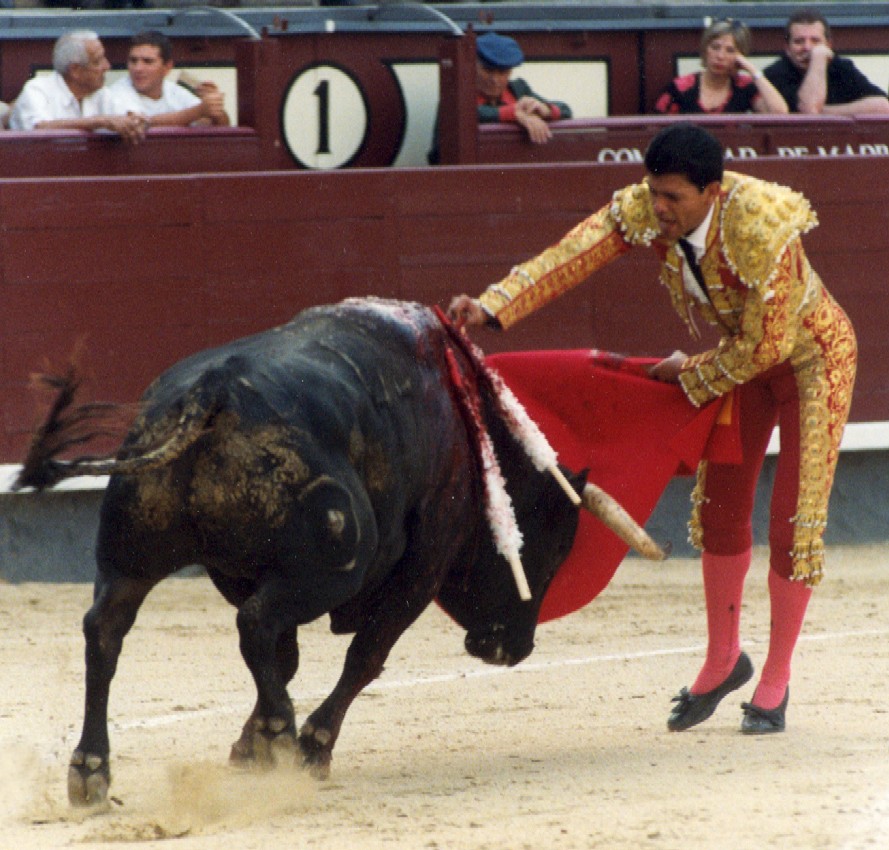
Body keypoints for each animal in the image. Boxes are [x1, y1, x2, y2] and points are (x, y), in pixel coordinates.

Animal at [13, 296, 660, 800]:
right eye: (549, 551)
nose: (514, 649)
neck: (466, 428)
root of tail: (209, 393)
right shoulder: (425, 562)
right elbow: (364, 656)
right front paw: (307, 748)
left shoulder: (240, 570)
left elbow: (285, 658)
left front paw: (247, 748)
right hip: (332, 568)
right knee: (254, 624)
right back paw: (281, 731)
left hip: (131, 557)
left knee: (106, 631)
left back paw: (91, 770)